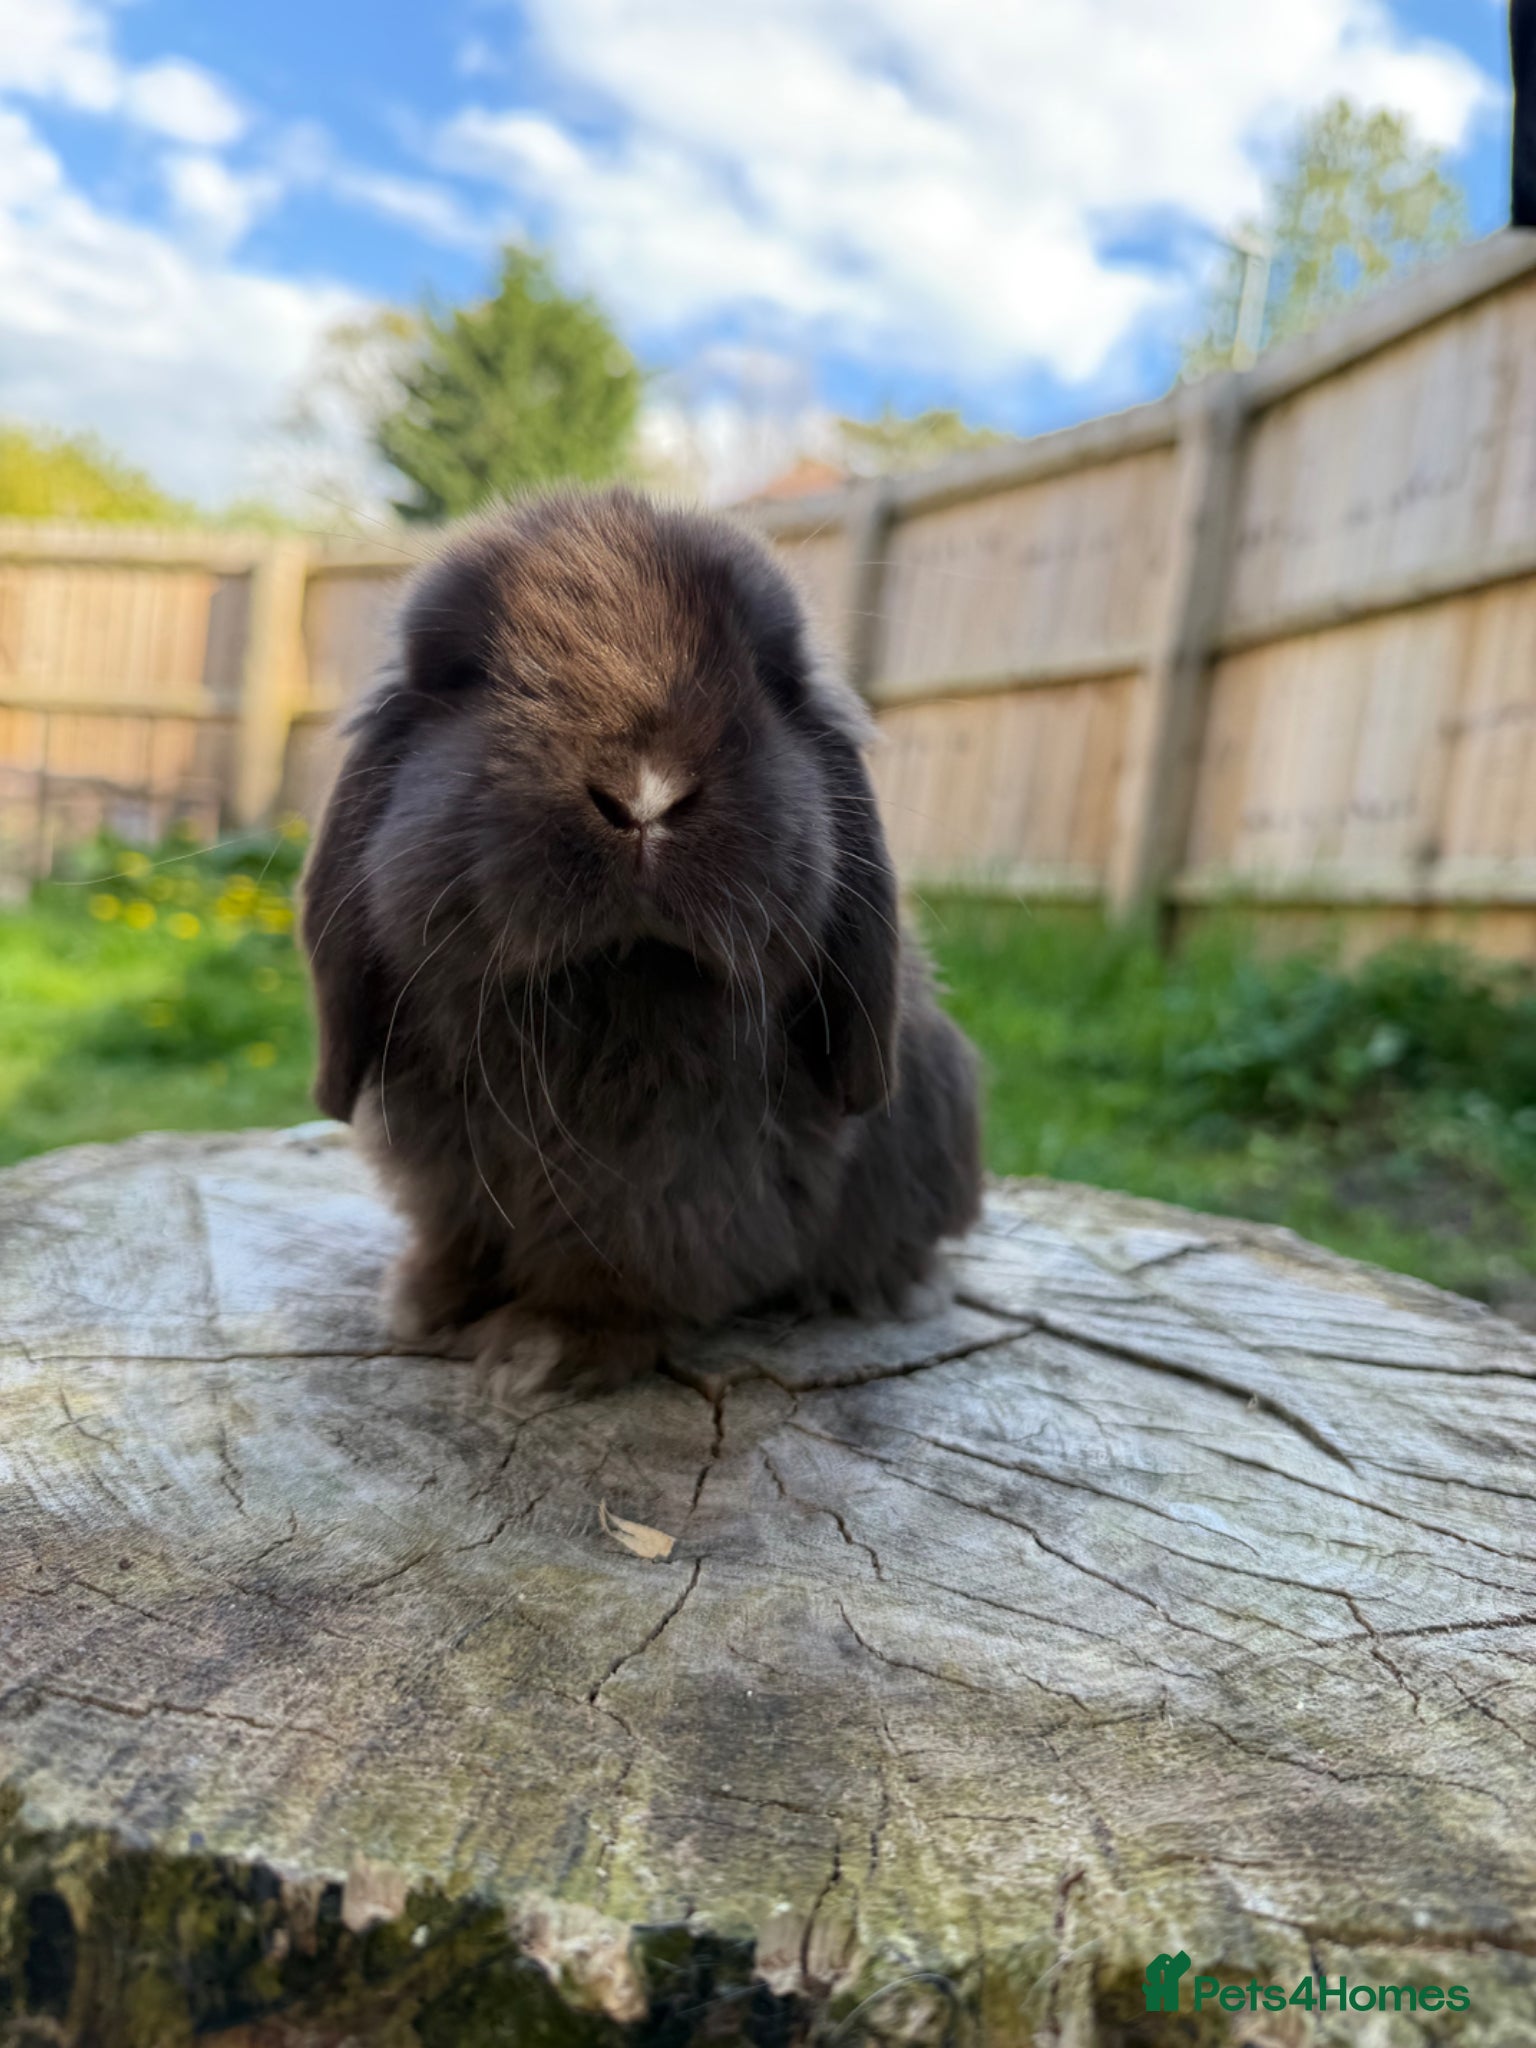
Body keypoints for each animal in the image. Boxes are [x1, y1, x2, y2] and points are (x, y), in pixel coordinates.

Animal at [300, 486, 982, 1390]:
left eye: (768, 676)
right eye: (467, 675)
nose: (645, 796)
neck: (610, 990)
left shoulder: (678, 1187)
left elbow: (623, 1268)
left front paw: (541, 1350)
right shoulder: (446, 1163)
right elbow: (456, 1234)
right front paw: (423, 1303)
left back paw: (895, 1290)